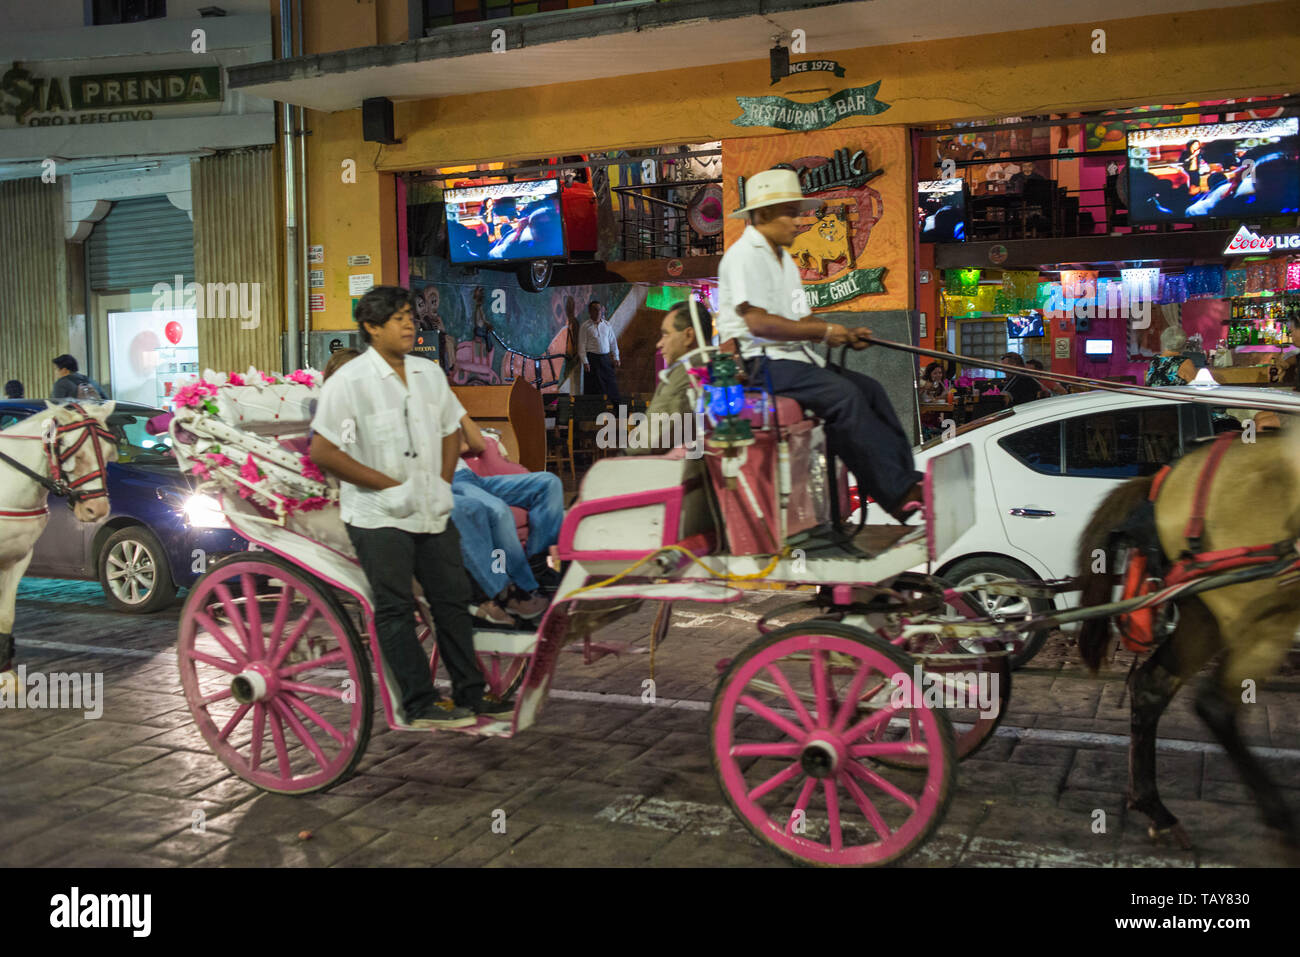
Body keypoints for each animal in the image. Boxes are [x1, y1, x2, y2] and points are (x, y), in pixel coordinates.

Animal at [1076, 429, 1300, 847]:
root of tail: (1167, 476)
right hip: (1260, 613)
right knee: (1215, 705)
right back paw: (1279, 818)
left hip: (1205, 613)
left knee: (1152, 686)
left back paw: (1157, 810)